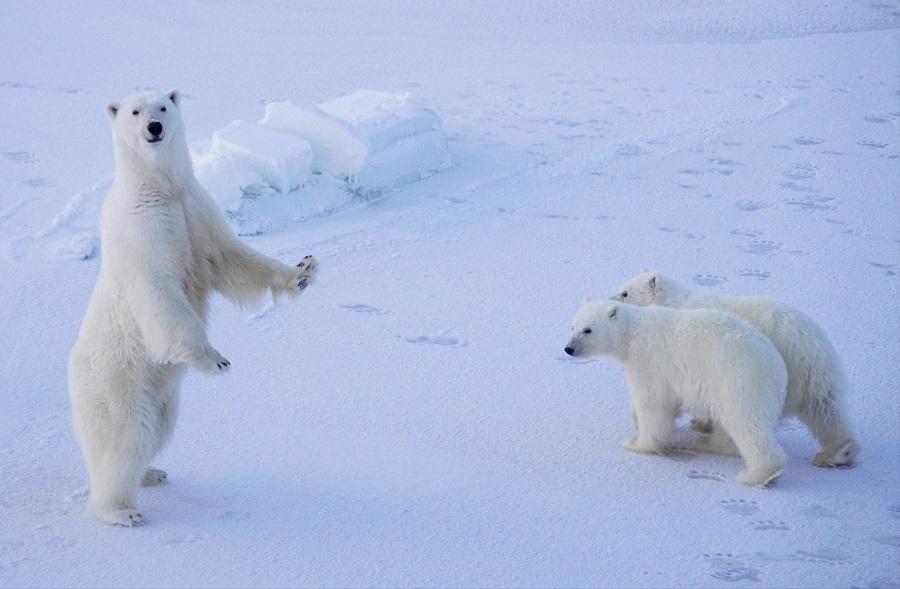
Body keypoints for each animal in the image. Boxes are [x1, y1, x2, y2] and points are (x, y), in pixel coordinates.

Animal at [68, 89, 318, 524]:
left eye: (163, 107)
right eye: (135, 111)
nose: (154, 127)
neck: (161, 188)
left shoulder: (195, 210)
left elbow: (230, 258)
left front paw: (302, 271)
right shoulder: (142, 228)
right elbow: (160, 291)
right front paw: (216, 360)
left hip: (162, 394)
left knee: (159, 428)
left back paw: (152, 472)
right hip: (117, 380)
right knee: (124, 436)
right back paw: (121, 509)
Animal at [568, 300, 788, 484]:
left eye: (587, 330)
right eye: (573, 325)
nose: (568, 348)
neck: (631, 333)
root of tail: (778, 369)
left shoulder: (649, 361)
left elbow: (652, 405)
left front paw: (637, 443)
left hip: (737, 381)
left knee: (746, 423)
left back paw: (756, 474)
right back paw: (706, 442)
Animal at [612, 272, 856, 468]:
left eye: (625, 292)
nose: (610, 299)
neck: (675, 302)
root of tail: (815, 351)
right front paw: (699, 422)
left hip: (780, 374)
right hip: (818, 382)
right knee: (825, 412)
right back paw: (838, 452)